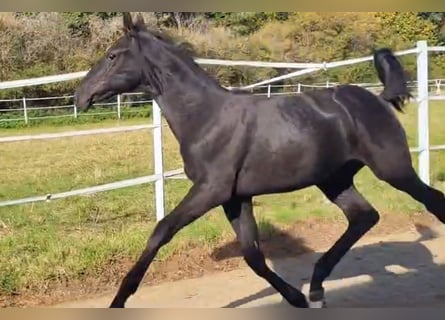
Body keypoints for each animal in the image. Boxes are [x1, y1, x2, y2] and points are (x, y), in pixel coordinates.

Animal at [73, 12, 444, 308]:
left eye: (112, 55)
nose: (80, 96)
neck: (206, 117)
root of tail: (379, 99)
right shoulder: (235, 197)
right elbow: (252, 254)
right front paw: (295, 297)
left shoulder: (211, 190)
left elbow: (162, 229)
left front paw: (120, 299)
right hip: (334, 180)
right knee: (364, 216)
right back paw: (317, 287)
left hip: (393, 169)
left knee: (431, 200)